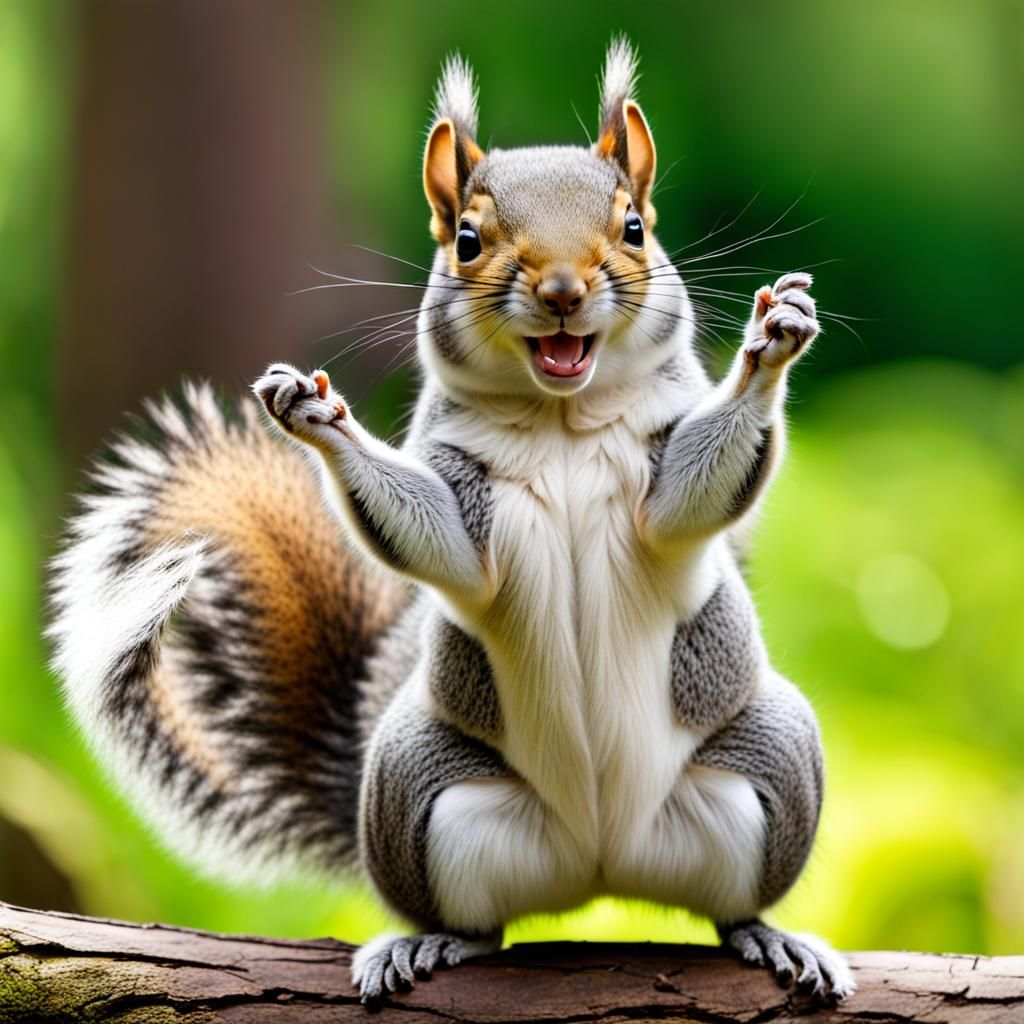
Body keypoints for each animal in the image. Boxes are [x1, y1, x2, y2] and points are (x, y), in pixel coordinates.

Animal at [49, 40, 855, 1005]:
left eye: (634, 229)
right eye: (467, 240)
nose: (561, 291)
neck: (562, 419)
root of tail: (600, 866)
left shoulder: (661, 488)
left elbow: (697, 494)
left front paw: (773, 342)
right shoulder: (461, 491)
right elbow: (437, 541)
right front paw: (314, 417)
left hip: (773, 754)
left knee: (734, 904)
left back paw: (771, 936)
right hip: (411, 781)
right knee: (474, 918)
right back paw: (430, 942)